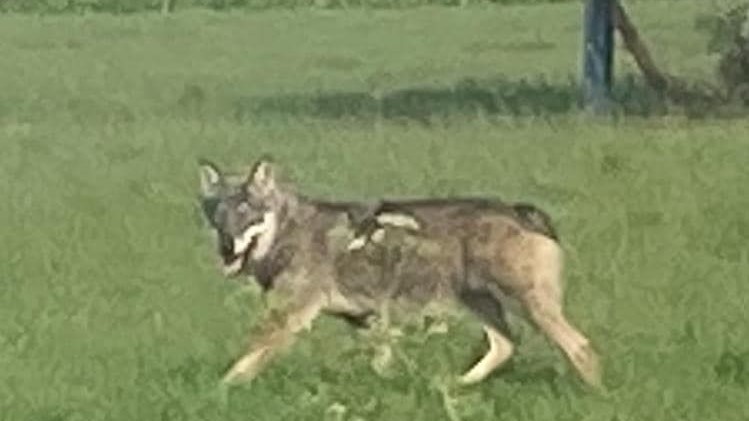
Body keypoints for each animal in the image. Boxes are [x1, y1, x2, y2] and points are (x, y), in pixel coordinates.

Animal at [198, 157, 601, 388]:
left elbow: (241, 366)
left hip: (529, 306)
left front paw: (218, 393)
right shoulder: (368, 320)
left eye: (247, 211)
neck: (289, 231)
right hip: (481, 304)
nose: (226, 247)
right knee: (505, 346)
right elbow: (382, 365)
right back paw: (455, 385)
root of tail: (519, 211)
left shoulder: (288, 317)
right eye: (217, 214)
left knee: (581, 348)